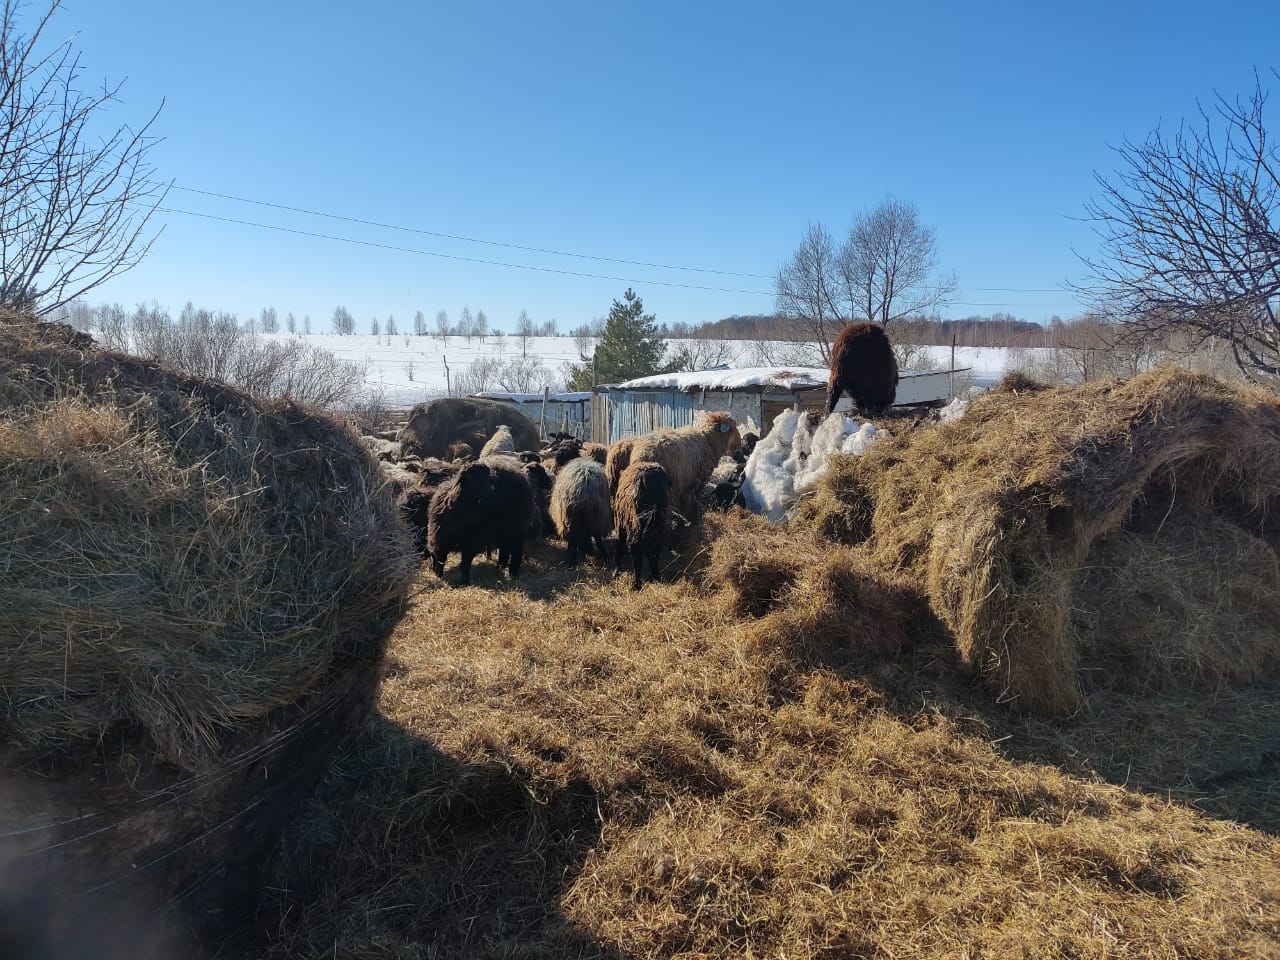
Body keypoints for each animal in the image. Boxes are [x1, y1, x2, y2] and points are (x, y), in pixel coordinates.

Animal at [609, 463, 670, 591]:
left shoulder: (622, 524)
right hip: (655, 526)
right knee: (653, 550)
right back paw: (654, 578)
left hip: (632, 525)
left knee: (635, 550)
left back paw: (637, 584)